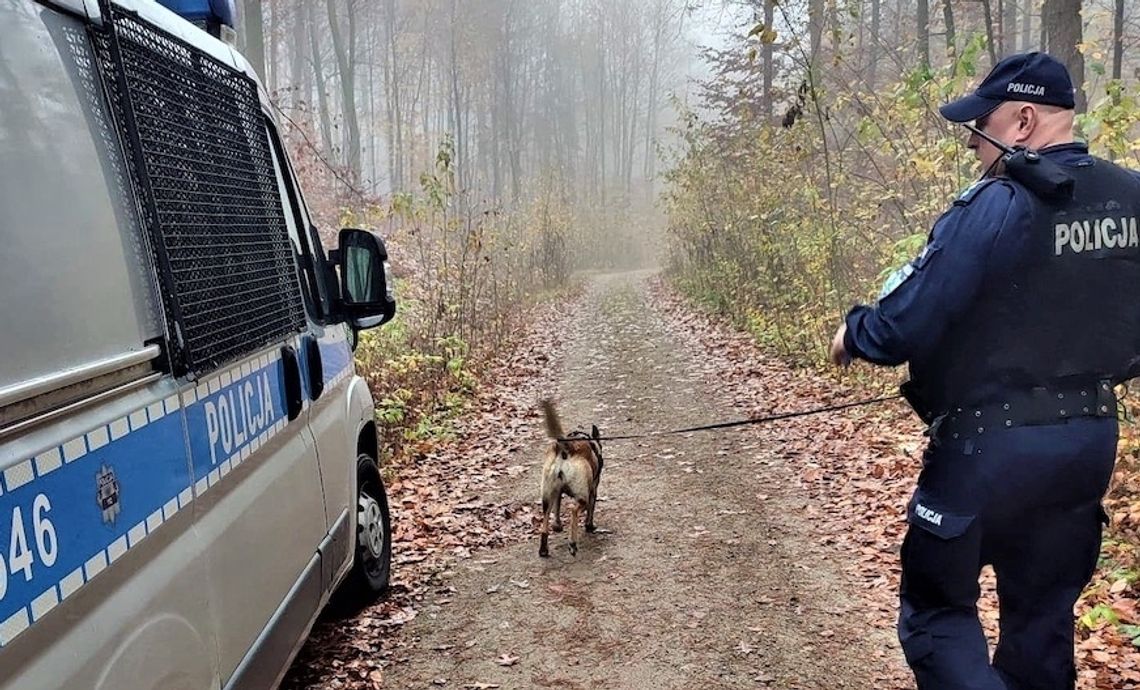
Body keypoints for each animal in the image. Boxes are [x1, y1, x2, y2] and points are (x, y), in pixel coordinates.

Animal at [535, 401, 601, 556]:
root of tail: (565, 447)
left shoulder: (557, 493)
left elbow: (557, 510)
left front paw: (557, 526)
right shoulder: (593, 490)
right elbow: (591, 511)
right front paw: (589, 526)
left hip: (547, 496)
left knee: (545, 519)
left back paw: (544, 549)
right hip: (583, 496)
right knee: (574, 510)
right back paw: (572, 543)